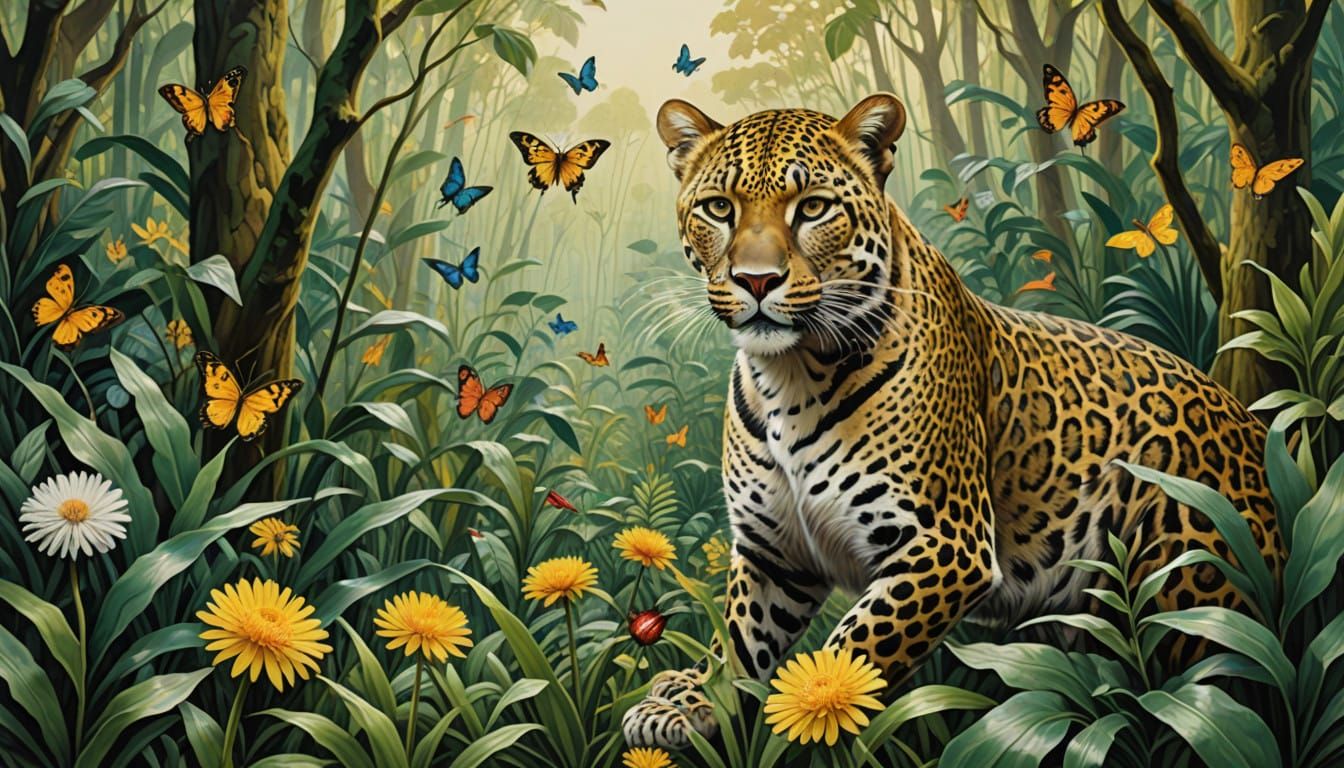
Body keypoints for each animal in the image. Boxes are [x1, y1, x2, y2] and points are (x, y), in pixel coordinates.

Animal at [621, 93, 1282, 750]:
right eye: (719, 208)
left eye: (812, 207)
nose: (755, 281)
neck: (789, 375)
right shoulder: (773, 555)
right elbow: (736, 642)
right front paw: (690, 704)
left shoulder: (946, 546)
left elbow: (851, 650)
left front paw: (806, 714)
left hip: (1191, 574)